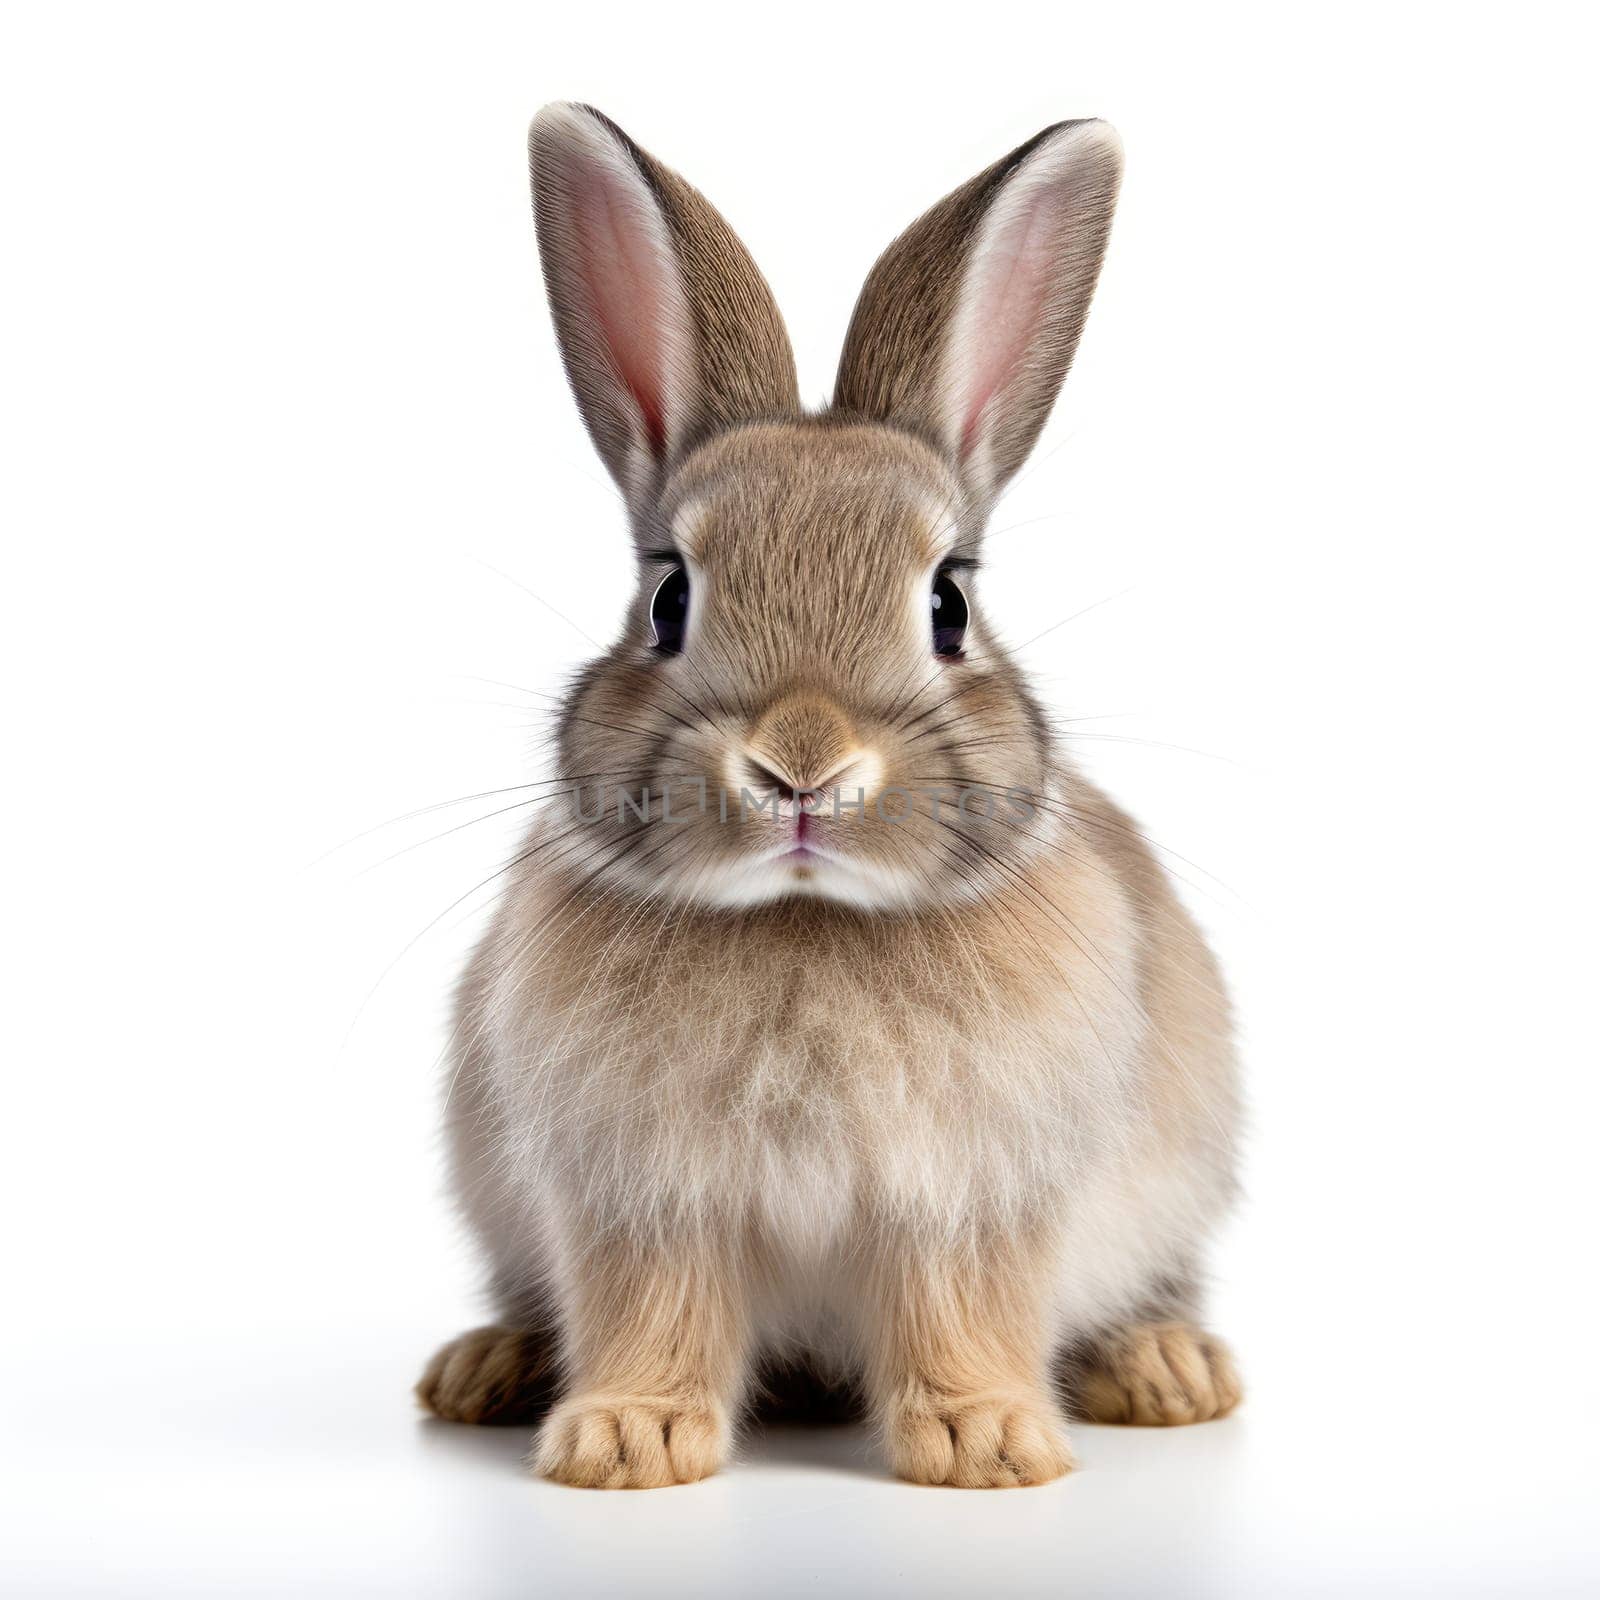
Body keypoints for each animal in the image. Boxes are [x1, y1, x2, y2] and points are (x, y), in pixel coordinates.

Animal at [419, 103, 1241, 1484]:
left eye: (949, 603)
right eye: (669, 597)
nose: (802, 765)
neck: (804, 919)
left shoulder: (969, 1196)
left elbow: (960, 1308)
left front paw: (986, 1445)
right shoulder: (641, 1196)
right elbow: (652, 1308)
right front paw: (628, 1442)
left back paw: (1168, 1369)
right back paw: (481, 1369)